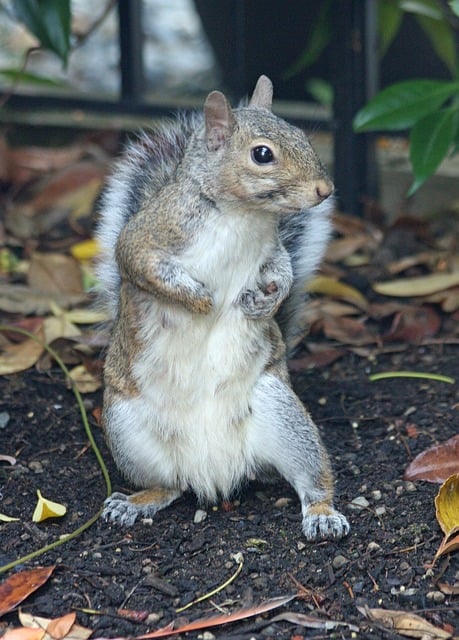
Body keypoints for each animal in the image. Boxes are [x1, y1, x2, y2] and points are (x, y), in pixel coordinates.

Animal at [95, 75, 349, 540]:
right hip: (127, 431)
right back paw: (134, 503)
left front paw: (265, 301)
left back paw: (322, 514)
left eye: (302, 135)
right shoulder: (149, 235)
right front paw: (199, 299)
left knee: (311, 477)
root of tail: (215, 473)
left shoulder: (272, 249)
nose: (325, 191)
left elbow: (283, 270)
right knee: (169, 486)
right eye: (262, 154)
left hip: (281, 414)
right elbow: (141, 264)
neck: (242, 214)